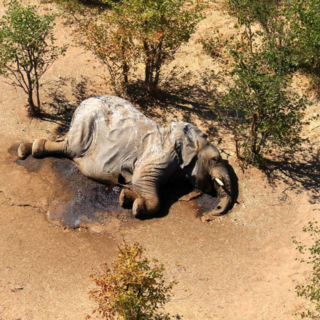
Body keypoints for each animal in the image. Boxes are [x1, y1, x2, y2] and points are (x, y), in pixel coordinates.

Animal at [17, 94, 232, 220]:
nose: (208, 216)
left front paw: (125, 198)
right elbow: (142, 181)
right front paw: (137, 208)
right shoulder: (161, 156)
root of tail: (84, 101)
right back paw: (28, 150)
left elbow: (139, 183)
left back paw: (26, 149)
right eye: (215, 159)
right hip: (86, 122)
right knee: (71, 148)